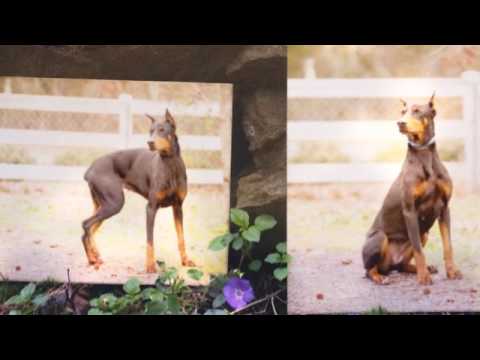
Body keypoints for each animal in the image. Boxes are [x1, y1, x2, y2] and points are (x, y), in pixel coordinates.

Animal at [81, 109, 195, 272]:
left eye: (162, 130)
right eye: (151, 131)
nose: (150, 142)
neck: (170, 164)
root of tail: (89, 169)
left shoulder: (178, 206)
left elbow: (181, 237)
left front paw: (186, 261)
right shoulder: (151, 208)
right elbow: (150, 240)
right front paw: (150, 266)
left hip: (103, 205)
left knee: (88, 229)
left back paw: (94, 257)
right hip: (114, 203)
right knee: (86, 225)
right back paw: (93, 257)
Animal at [364, 94, 462, 286]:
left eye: (417, 111)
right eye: (402, 112)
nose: (400, 123)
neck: (424, 152)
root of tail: (390, 264)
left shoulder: (445, 208)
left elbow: (448, 245)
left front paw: (452, 271)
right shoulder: (410, 211)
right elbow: (418, 251)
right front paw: (423, 277)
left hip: (424, 234)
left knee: (402, 265)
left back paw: (422, 268)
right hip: (380, 237)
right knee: (369, 269)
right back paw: (380, 277)